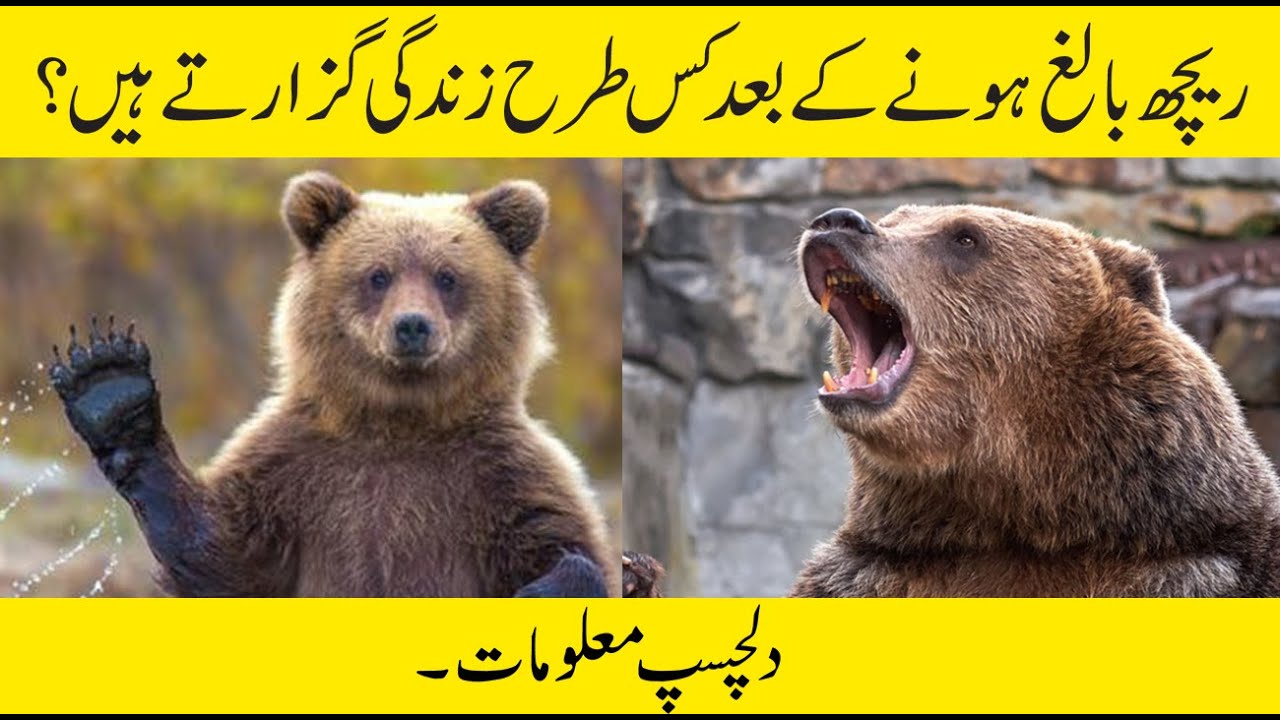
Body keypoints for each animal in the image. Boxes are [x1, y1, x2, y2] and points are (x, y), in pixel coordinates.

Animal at [48, 171, 620, 598]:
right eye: (378, 275)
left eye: (448, 277)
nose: (412, 326)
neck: (399, 420)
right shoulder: (294, 470)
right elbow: (224, 556)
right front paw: (109, 388)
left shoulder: (503, 475)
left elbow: (569, 546)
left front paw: (551, 585)